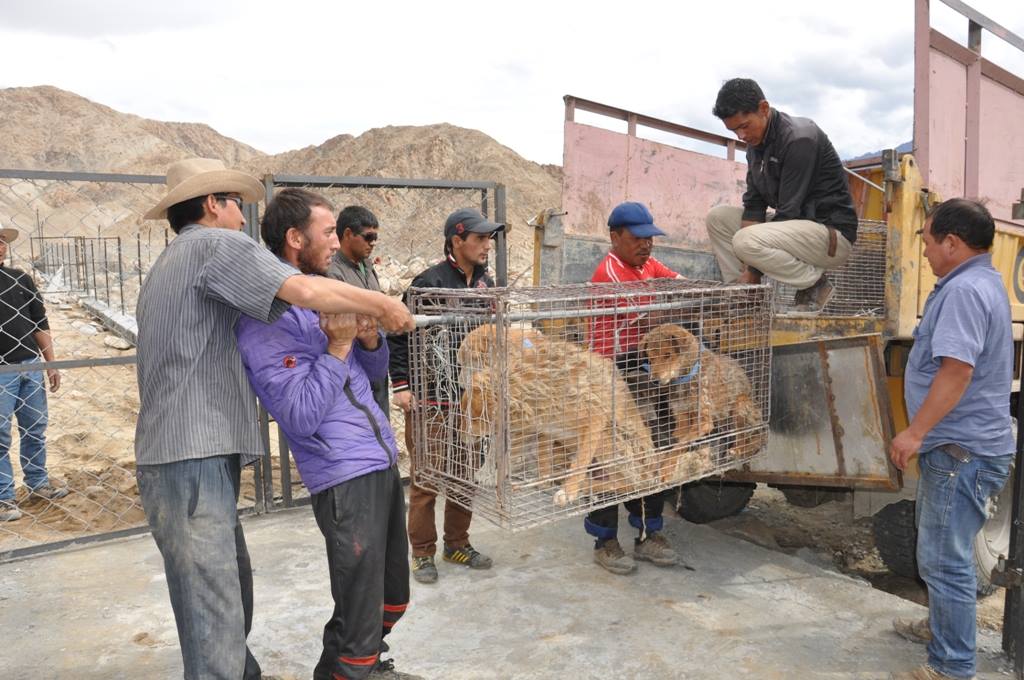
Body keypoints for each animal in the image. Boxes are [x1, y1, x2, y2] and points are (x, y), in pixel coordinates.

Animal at [643, 323, 765, 462]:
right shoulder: (681, 417)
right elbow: (679, 441)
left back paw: (736, 450)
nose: (654, 380)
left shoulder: (704, 421)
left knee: (745, 438)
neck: (686, 378)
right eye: (650, 358)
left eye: (668, 354)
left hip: (740, 403)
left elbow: (680, 445)